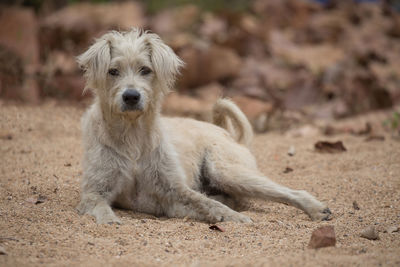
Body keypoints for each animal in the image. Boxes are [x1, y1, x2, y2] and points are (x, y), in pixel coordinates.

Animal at [76, 28, 332, 225]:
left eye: (145, 70)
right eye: (113, 71)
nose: (131, 96)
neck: (132, 135)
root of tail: (225, 131)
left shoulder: (174, 191)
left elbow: (206, 203)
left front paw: (237, 218)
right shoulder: (95, 192)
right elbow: (100, 207)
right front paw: (109, 220)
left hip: (228, 172)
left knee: (289, 192)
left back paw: (316, 209)